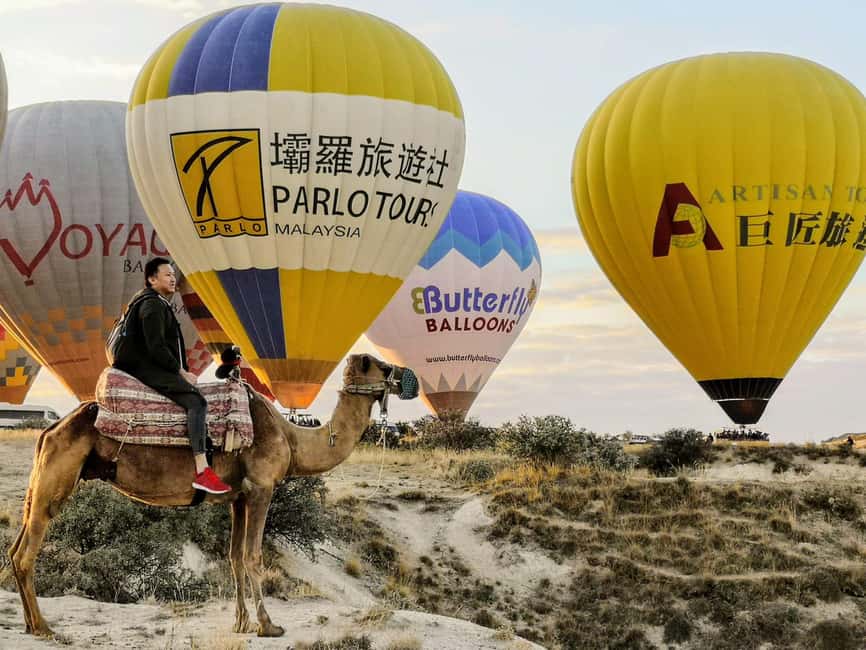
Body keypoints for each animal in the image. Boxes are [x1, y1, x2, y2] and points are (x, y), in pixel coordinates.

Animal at [7, 353, 412, 638]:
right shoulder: (262, 487)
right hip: (57, 476)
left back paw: (30, 624)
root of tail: (51, 428)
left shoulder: (238, 497)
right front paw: (269, 625)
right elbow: (253, 556)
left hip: (43, 476)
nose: (406, 377)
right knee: (28, 551)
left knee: (15, 548)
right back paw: (44, 627)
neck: (291, 437)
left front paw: (241, 624)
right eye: (380, 366)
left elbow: (233, 557)